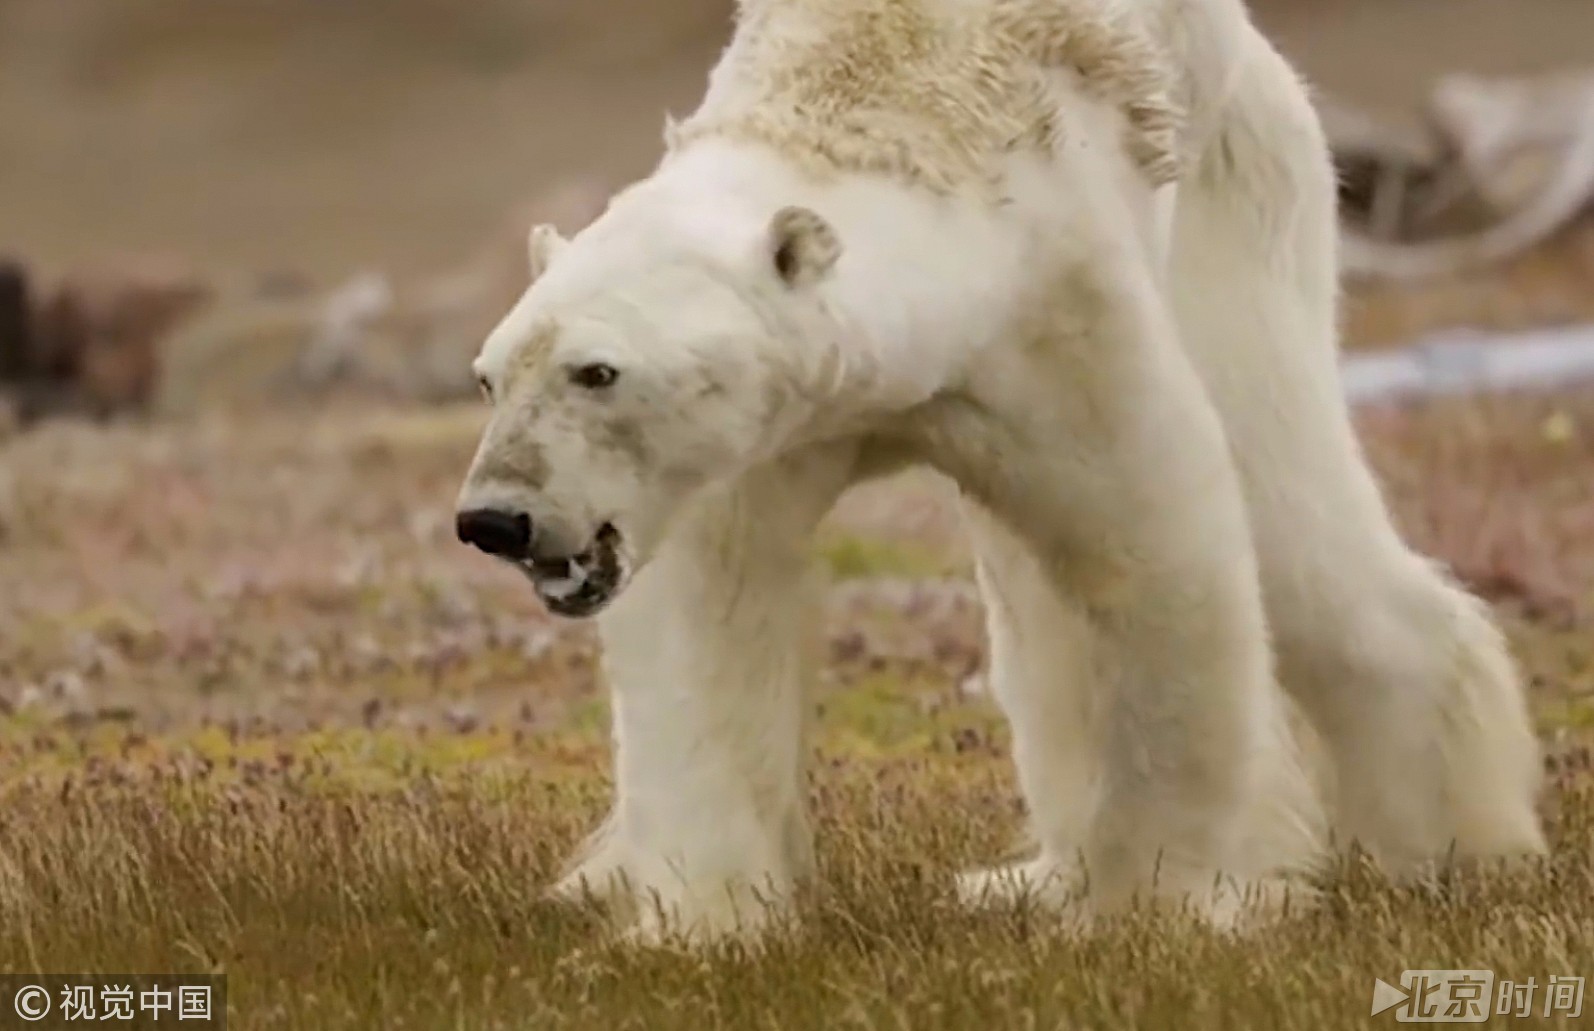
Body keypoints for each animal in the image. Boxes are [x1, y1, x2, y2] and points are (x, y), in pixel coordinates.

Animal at [449, 0, 1542, 943]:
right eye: (488, 374)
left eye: (598, 370)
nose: (495, 518)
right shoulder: (768, 428)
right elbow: (711, 614)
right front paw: (695, 922)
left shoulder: (1059, 311)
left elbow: (1156, 559)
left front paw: (1159, 906)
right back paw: (1021, 878)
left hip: (1239, 200)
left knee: (1289, 516)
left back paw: (1457, 849)